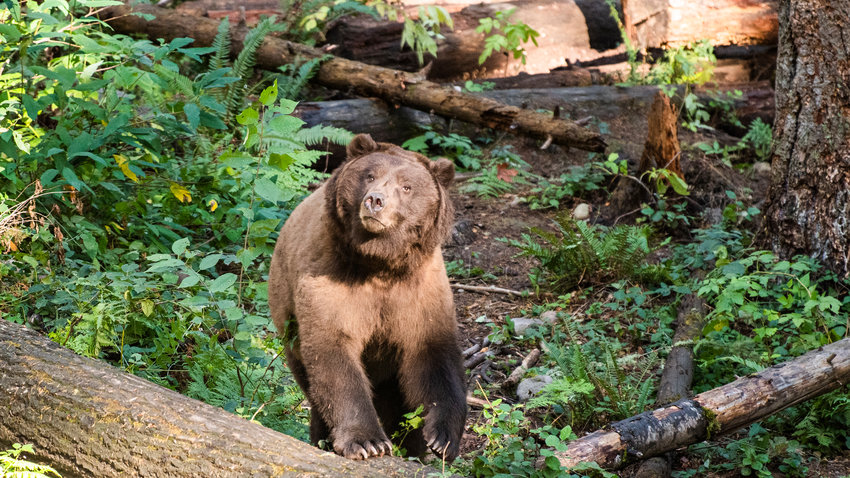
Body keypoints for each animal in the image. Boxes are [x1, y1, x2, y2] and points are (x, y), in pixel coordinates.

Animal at [268, 134, 467, 461]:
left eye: (406, 186)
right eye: (369, 175)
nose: (375, 200)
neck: (379, 264)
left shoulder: (420, 292)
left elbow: (434, 355)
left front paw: (442, 439)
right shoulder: (330, 279)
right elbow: (333, 352)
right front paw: (367, 442)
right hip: (289, 329)